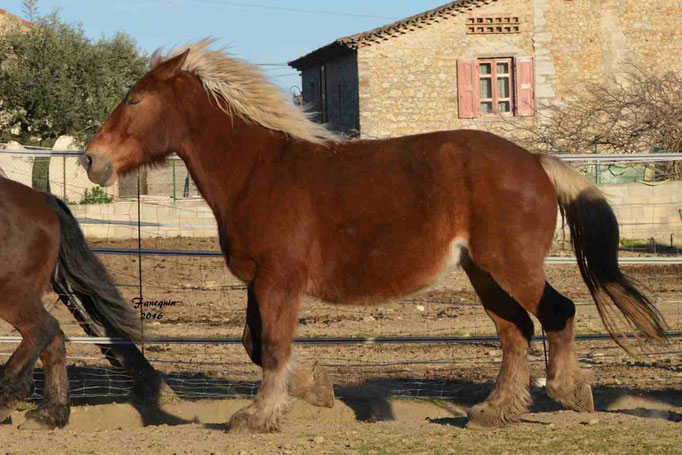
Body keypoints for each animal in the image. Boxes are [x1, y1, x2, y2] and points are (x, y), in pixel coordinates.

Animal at [0, 177, 145, 432]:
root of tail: (41, 199)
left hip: (11, 291)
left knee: (44, 329)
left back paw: (9, 399)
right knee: (53, 337)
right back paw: (49, 413)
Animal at [79, 41, 664, 432]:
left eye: (135, 100)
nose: (90, 160)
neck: (260, 171)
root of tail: (537, 162)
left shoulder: (278, 281)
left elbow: (271, 345)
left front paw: (257, 416)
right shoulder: (259, 282)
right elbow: (255, 343)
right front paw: (317, 391)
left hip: (512, 265)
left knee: (556, 312)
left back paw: (568, 391)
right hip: (482, 272)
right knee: (515, 331)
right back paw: (491, 411)